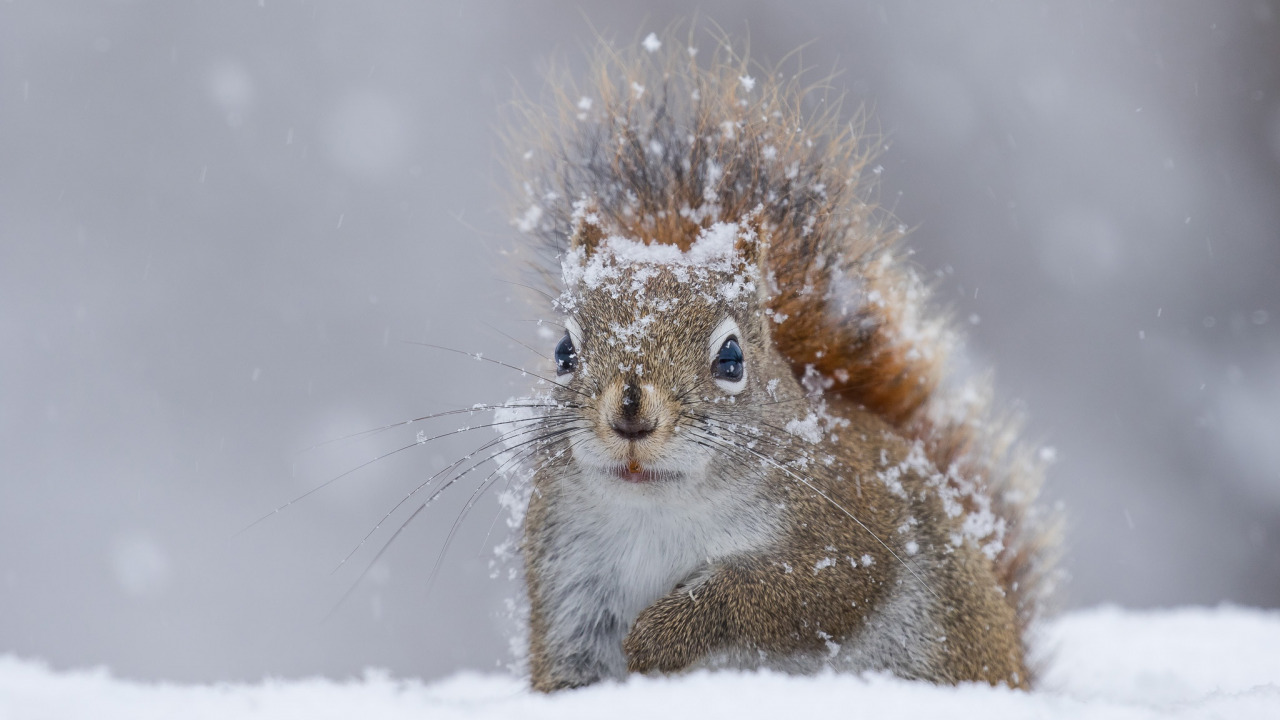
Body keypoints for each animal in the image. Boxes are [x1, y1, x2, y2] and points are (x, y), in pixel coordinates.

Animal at [494, 30, 1054, 691]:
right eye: (564, 353)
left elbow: (774, 596)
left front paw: (660, 637)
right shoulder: (569, 581)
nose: (630, 412)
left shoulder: (849, 532)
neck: (658, 511)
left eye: (732, 360)